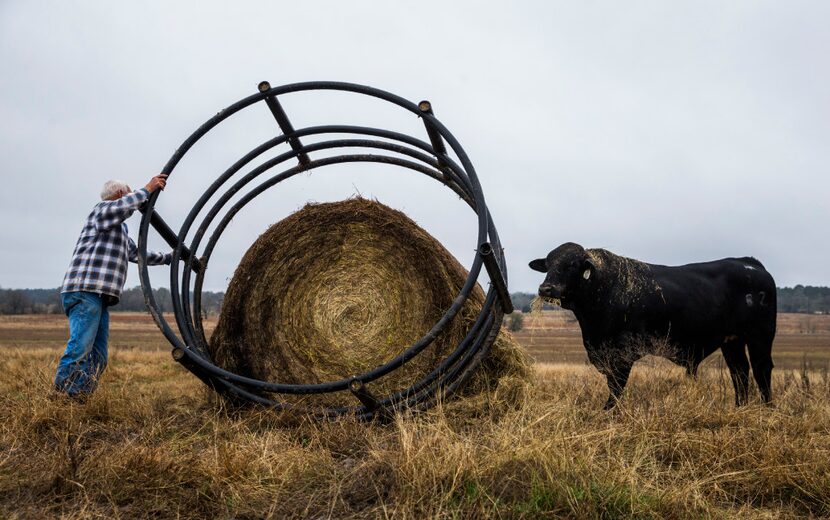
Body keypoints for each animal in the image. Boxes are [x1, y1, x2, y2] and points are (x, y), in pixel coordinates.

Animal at [532, 244, 780, 410]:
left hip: (760, 335)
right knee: (740, 371)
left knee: (761, 368)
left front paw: (609, 412)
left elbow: (616, 387)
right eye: (548, 265)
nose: (546, 288)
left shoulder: (622, 354)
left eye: (572, 265)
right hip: (732, 340)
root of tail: (750, 263)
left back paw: (767, 409)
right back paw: (740, 408)